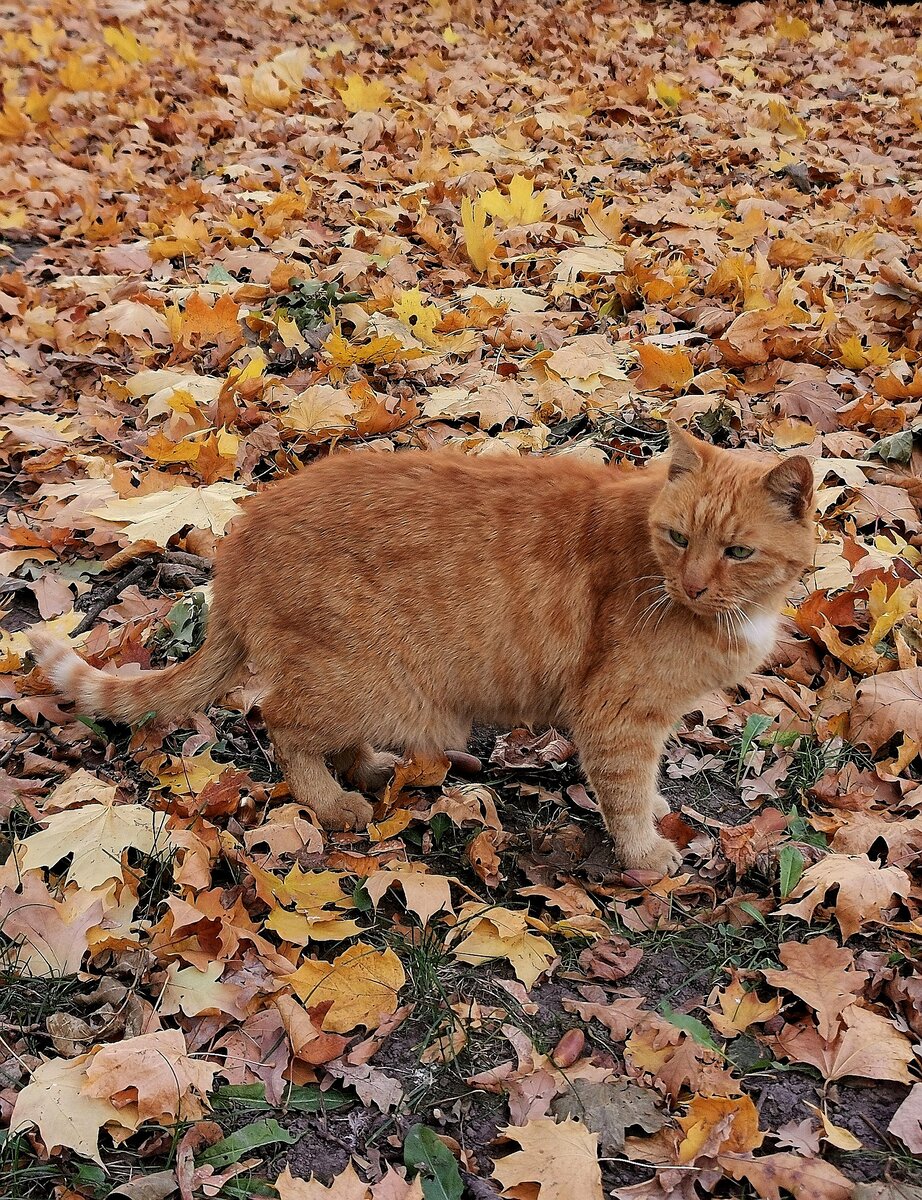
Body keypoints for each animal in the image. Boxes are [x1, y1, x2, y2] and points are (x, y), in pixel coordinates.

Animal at [30, 427, 816, 878]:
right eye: (679, 539)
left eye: (736, 551)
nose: (692, 583)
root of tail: (242, 534)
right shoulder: (617, 718)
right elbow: (624, 795)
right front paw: (647, 853)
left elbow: (643, 786)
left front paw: (655, 817)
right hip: (365, 681)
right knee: (281, 723)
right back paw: (333, 800)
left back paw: (370, 767)